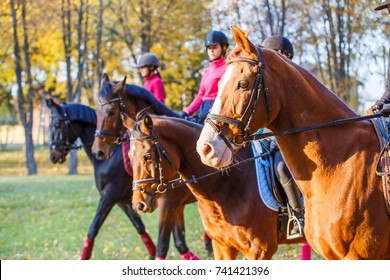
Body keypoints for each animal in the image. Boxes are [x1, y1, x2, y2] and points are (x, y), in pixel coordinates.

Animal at [46, 99, 194, 260]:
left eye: (57, 125)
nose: (53, 156)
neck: (111, 157)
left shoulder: (108, 196)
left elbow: (93, 228)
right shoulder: (123, 200)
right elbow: (139, 226)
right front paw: (151, 252)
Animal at [90, 73, 206, 260]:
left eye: (111, 111)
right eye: (96, 112)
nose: (98, 151)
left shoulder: (168, 203)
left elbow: (163, 245)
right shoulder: (171, 204)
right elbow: (178, 241)